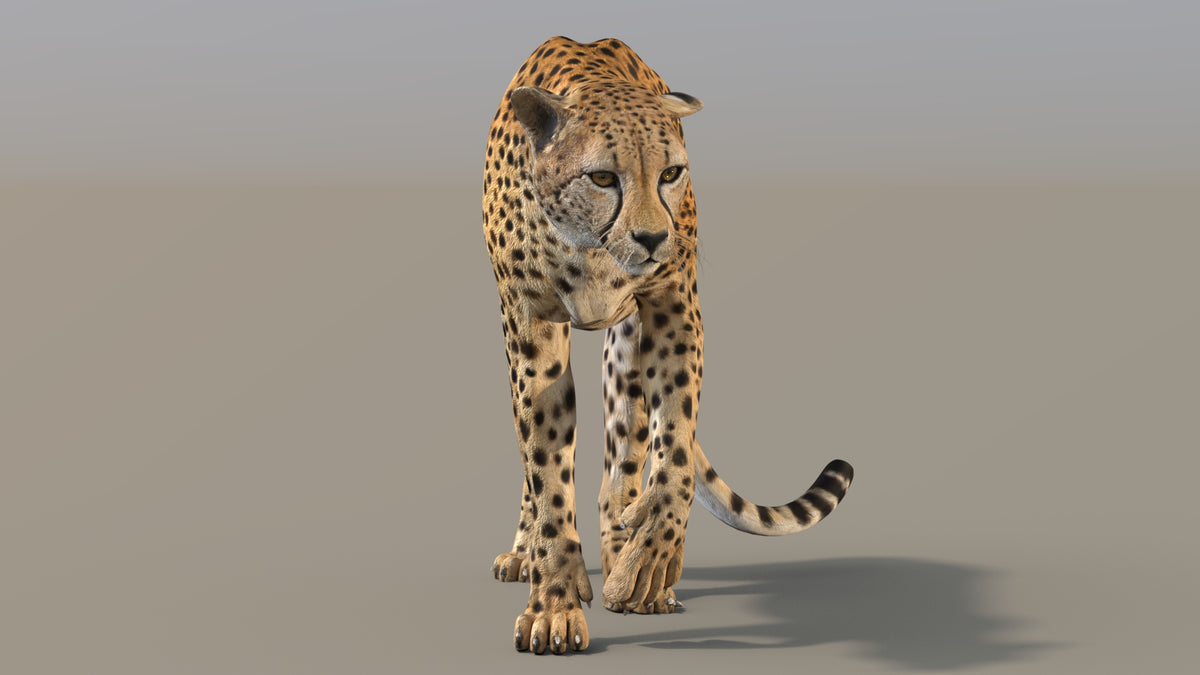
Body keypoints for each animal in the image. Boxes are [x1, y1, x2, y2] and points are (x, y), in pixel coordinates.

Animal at [482, 36, 854, 655]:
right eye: (603, 178)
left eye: (671, 173)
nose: (655, 238)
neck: (590, 249)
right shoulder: (530, 327)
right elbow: (546, 468)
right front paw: (553, 603)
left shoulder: (672, 310)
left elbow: (674, 445)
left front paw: (648, 553)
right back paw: (529, 552)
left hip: (625, 347)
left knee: (626, 452)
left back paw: (628, 560)